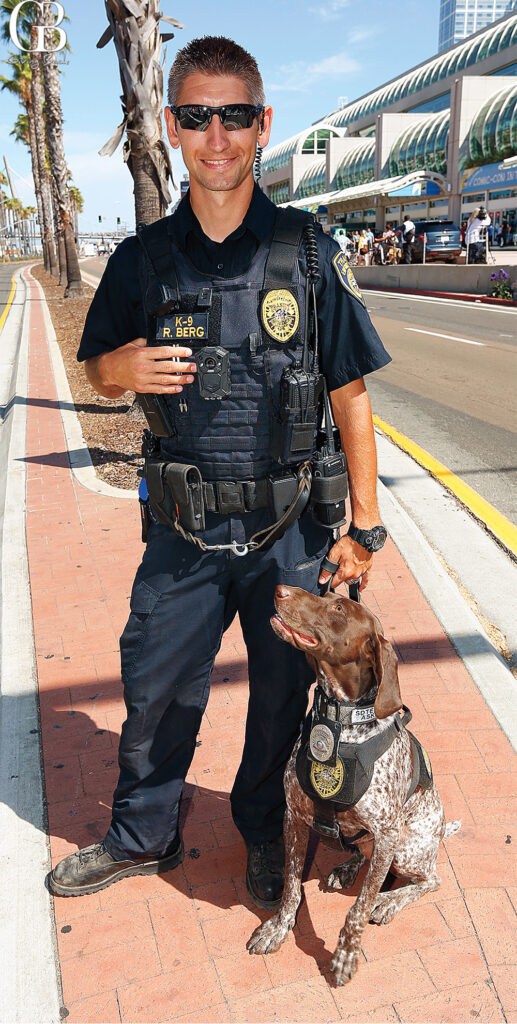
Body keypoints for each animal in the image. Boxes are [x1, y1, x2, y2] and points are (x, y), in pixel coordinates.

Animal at [245, 589, 458, 987]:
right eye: (325, 592)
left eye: (339, 608)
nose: (280, 589)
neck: (340, 722)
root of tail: (439, 832)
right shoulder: (294, 816)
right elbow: (291, 888)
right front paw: (278, 929)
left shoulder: (388, 834)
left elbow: (359, 909)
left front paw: (346, 954)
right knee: (362, 853)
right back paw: (347, 868)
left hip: (406, 850)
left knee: (430, 879)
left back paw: (389, 901)